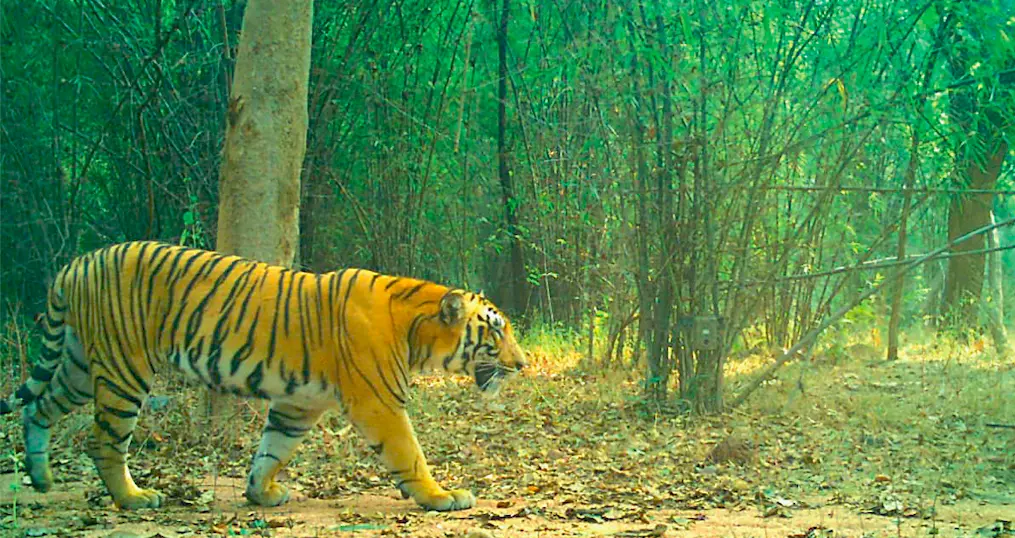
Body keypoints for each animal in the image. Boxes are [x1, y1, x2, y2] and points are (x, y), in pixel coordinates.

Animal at [0, 241, 526, 512]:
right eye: (495, 331)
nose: (522, 365)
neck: (416, 330)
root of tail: (77, 262)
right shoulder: (378, 402)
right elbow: (410, 454)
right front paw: (442, 496)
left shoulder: (298, 403)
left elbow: (273, 450)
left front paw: (261, 493)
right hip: (124, 368)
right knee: (103, 441)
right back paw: (133, 498)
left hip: (80, 365)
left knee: (37, 407)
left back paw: (41, 478)